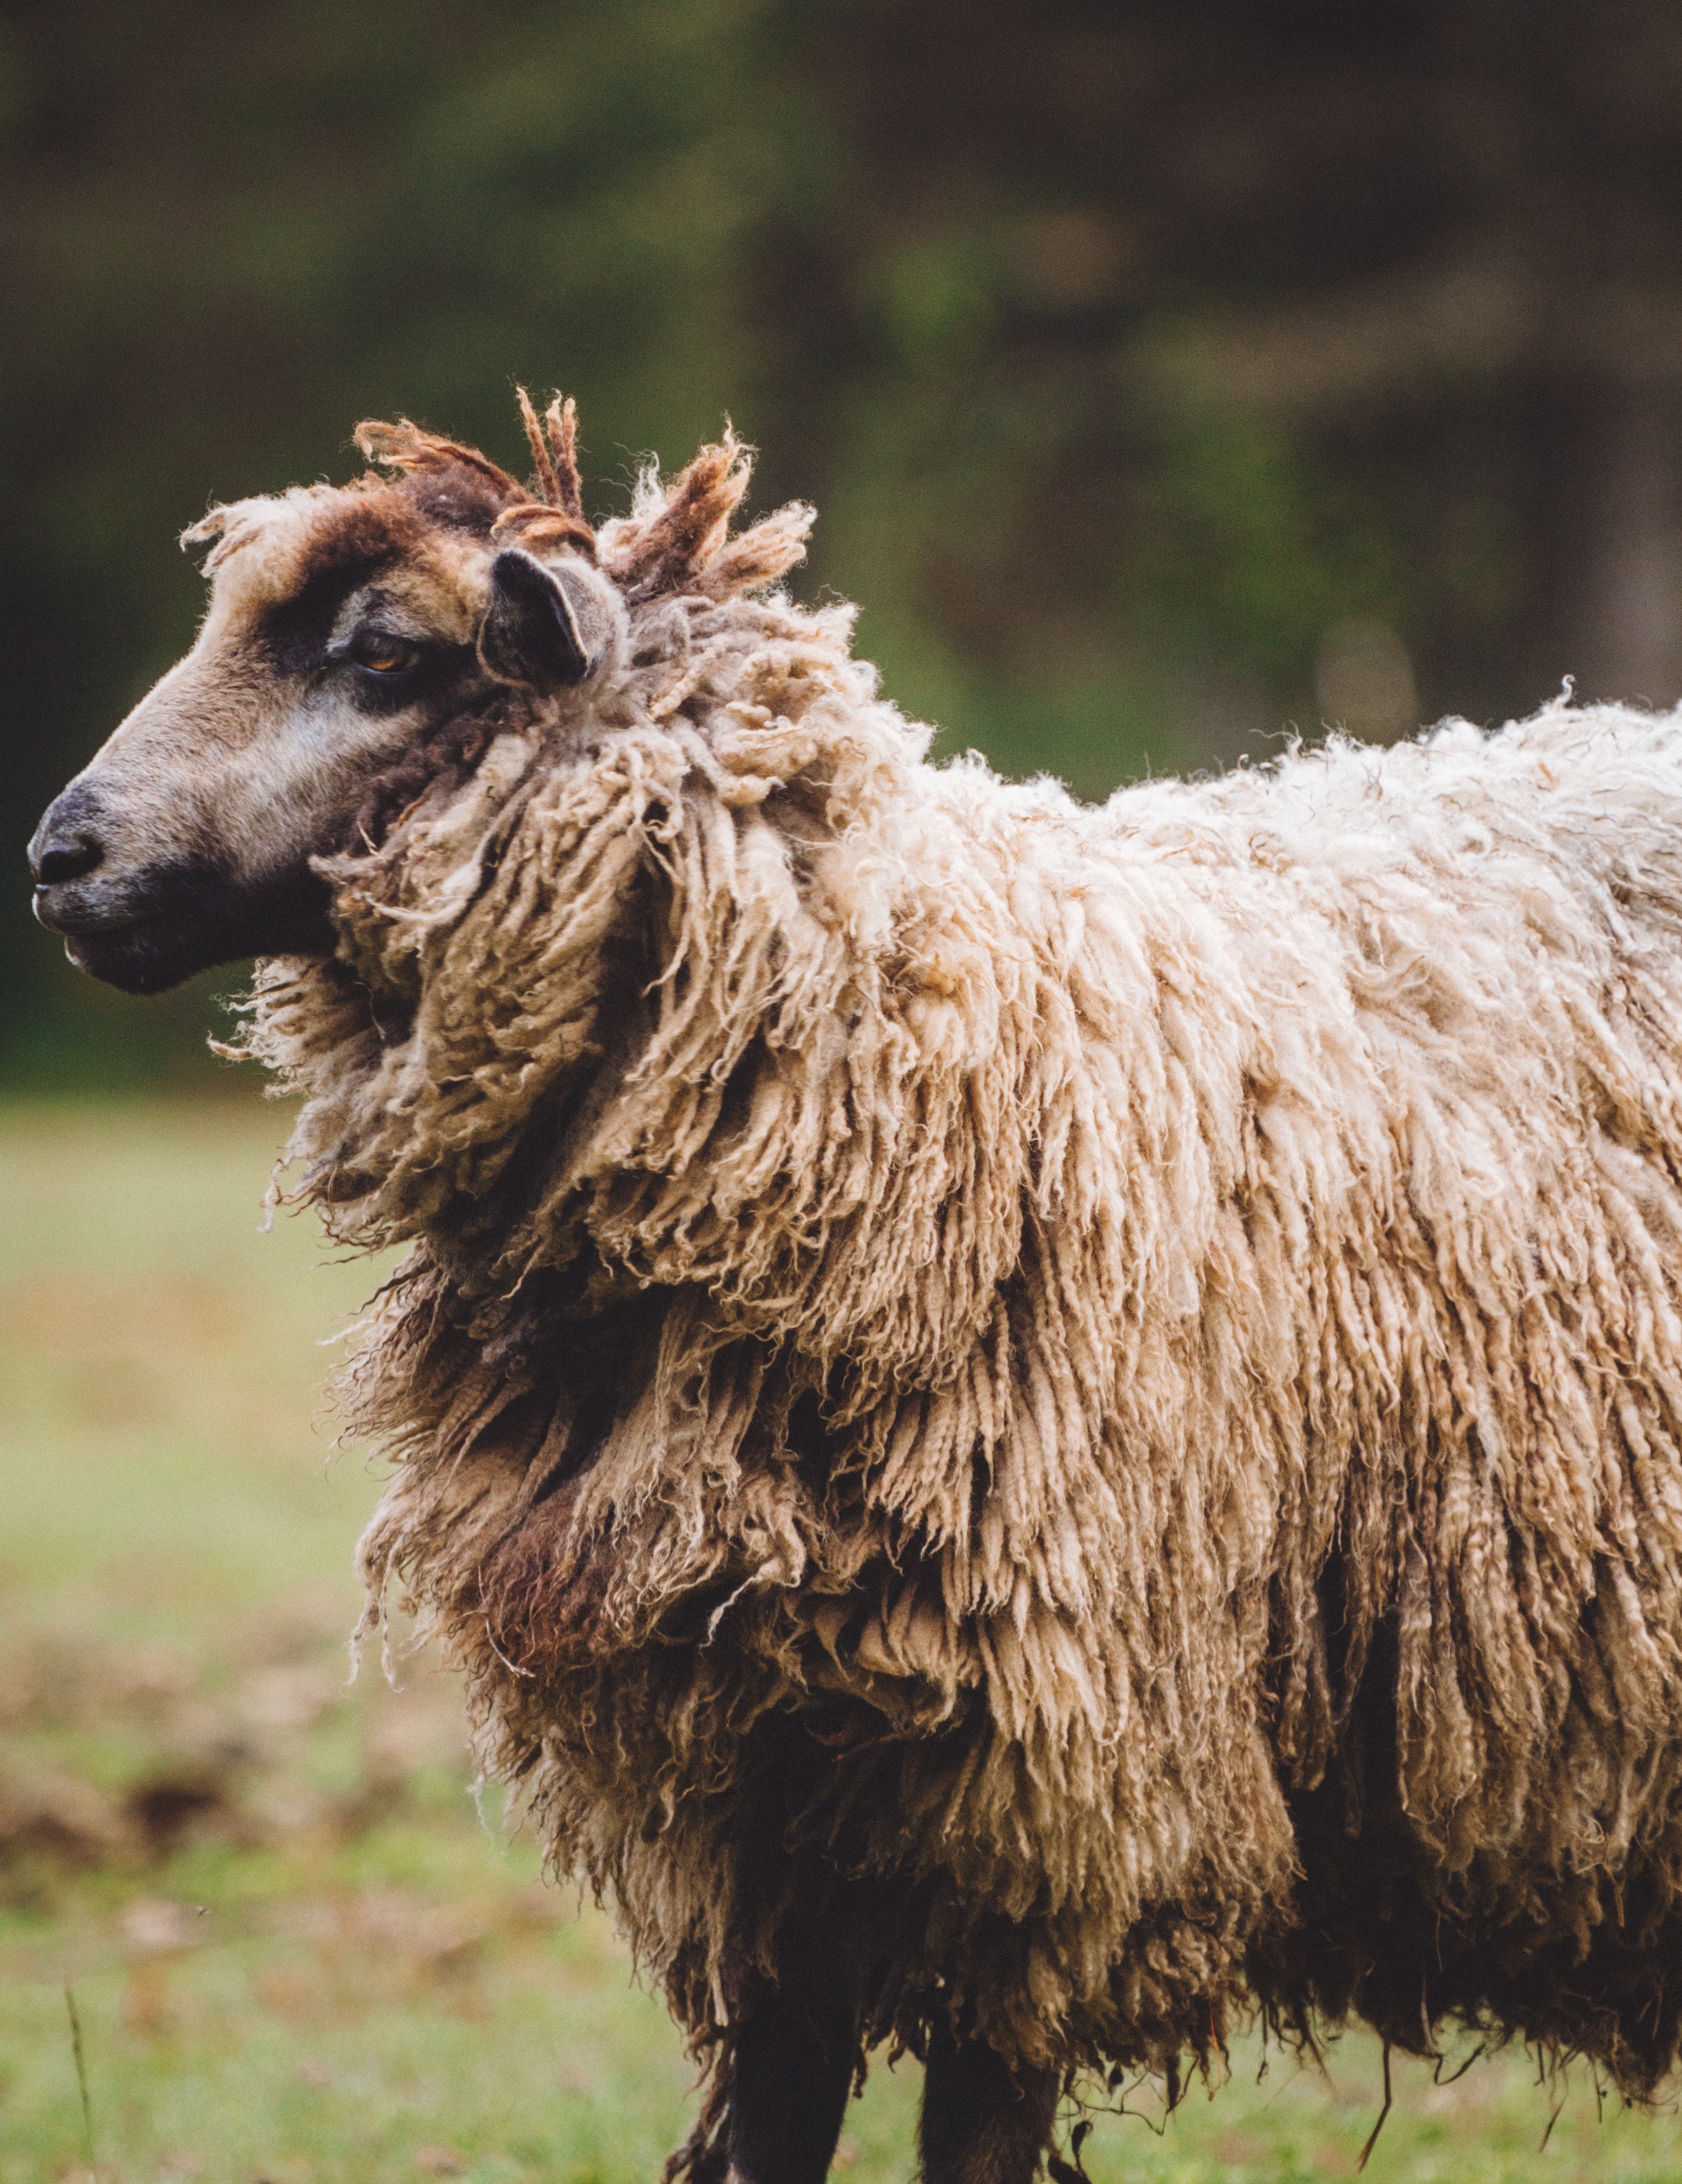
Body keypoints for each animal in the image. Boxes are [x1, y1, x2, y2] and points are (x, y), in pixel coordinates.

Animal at [26, 384, 1682, 2175]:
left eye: (384, 654)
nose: (58, 857)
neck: (885, 1039)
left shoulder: (1057, 1784)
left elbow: (973, 2118)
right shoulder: (749, 1802)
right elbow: (776, 2110)